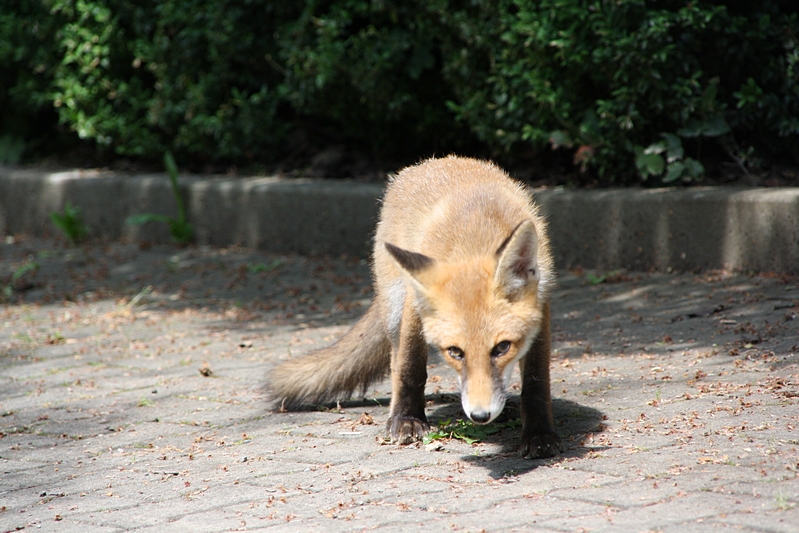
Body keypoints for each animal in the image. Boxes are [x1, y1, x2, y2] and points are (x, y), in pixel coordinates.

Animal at [267, 155, 563, 458]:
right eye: (455, 352)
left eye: (502, 348)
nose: (480, 415)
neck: (476, 237)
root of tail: (435, 161)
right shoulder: (415, 305)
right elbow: (410, 368)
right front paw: (406, 420)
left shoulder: (541, 305)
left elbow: (536, 382)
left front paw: (538, 433)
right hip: (396, 304)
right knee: (396, 360)